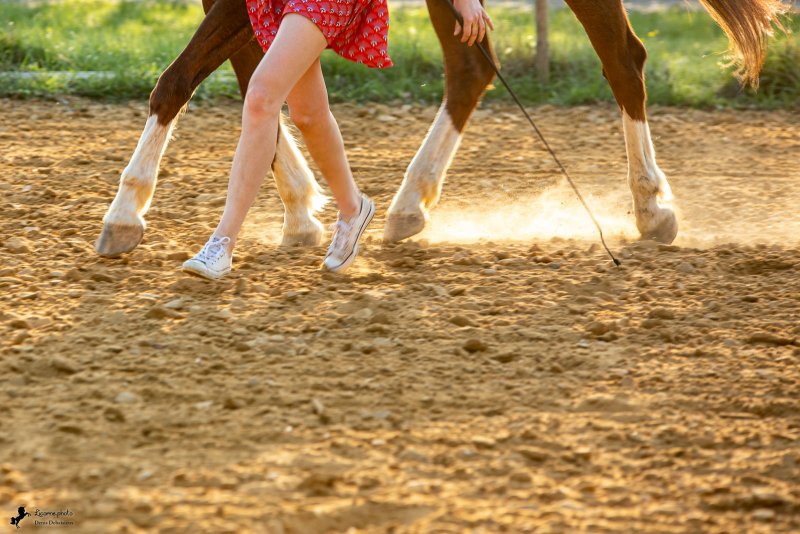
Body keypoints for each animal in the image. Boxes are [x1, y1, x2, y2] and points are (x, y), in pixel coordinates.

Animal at [94, 0, 788, 257]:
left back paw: (652, 208)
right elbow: (253, 85)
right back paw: (408, 206)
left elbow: (178, 81)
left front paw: (124, 213)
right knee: (472, 68)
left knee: (623, 59)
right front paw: (301, 213)